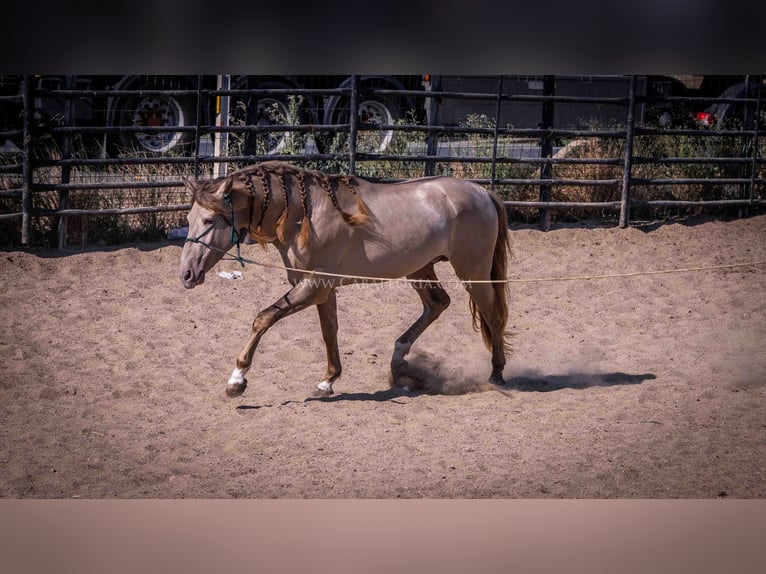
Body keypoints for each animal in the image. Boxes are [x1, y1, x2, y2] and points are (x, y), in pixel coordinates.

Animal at [179, 160, 512, 398]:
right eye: (188, 219)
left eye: (209, 220)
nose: (186, 274)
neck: (306, 215)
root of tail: (483, 192)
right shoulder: (322, 290)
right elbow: (330, 332)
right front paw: (327, 381)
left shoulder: (314, 286)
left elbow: (264, 318)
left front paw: (236, 380)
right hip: (419, 269)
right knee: (437, 304)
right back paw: (399, 356)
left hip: (472, 273)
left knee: (493, 315)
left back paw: (497, 374)